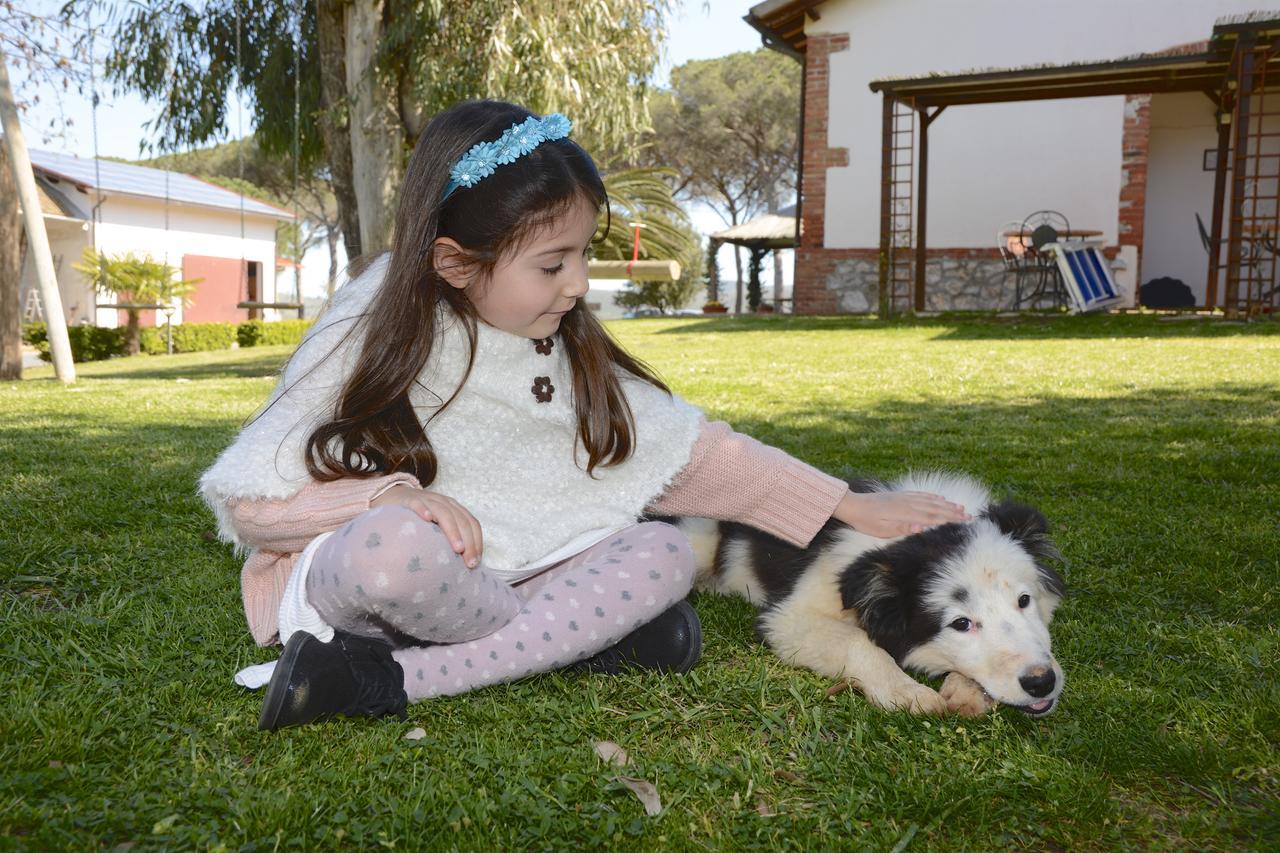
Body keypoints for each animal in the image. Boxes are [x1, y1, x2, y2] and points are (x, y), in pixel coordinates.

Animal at [675, 471, 1064, 712]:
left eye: (1024, 601)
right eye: (961, 623)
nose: (1042, 683)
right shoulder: (788, 616)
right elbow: (857, 640)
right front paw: (905, 691)